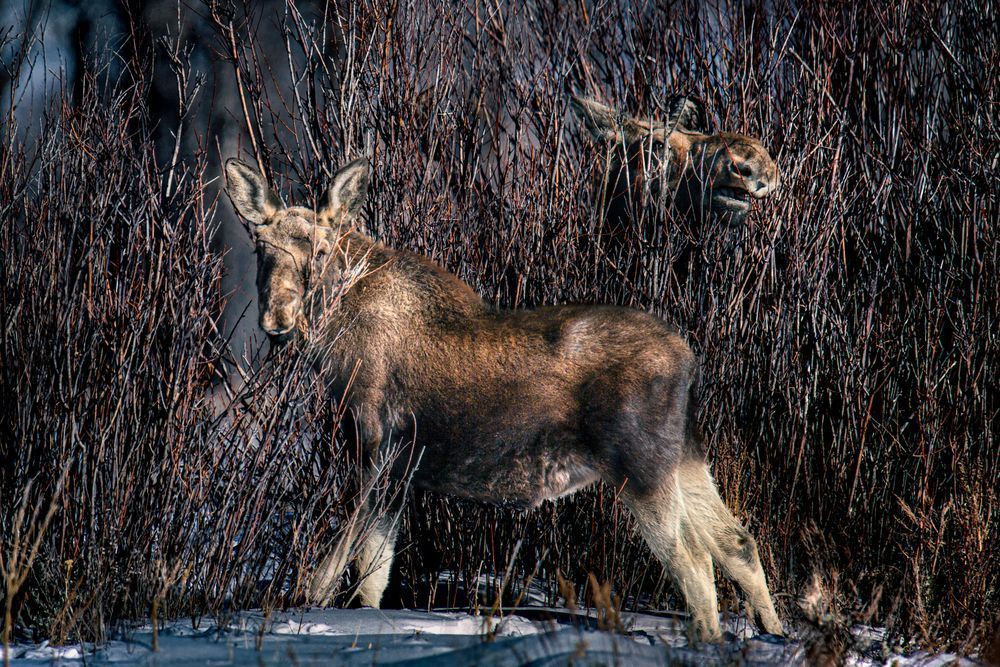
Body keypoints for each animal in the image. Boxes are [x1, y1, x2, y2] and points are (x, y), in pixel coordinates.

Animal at [224, 156, 784, 642]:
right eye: (260, 247)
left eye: (319, 251)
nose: (277, 320)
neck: (333, 340)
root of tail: (690, 363)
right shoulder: (400, 470)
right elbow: (372, 577)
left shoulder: (377, 448)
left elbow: (335, 566)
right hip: (684, 455)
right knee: (738, 542)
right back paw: (771, 633)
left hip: (640, 466)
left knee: (693, 558)